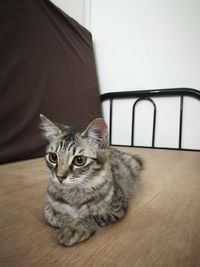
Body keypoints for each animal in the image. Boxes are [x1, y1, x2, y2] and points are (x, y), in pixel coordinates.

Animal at [39, 114, 142, 247]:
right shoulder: (49, 204)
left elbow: (93, 216)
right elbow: (49, 214)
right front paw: (66, 220)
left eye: (79, 160)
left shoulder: (118, 207)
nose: (59, 177)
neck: (74, 193)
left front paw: (74, 227)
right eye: (53, 157)